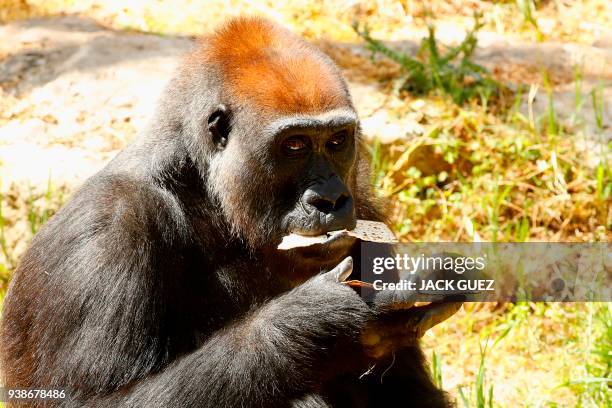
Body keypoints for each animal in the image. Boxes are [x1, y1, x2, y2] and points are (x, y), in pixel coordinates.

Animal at [0, 16, 460, 408]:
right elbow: (95, 400)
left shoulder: (362, 199)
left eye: (336, 141)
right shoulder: (111, 226)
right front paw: (317, 322)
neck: (208, 188)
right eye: (294, 145)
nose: (330, 199)